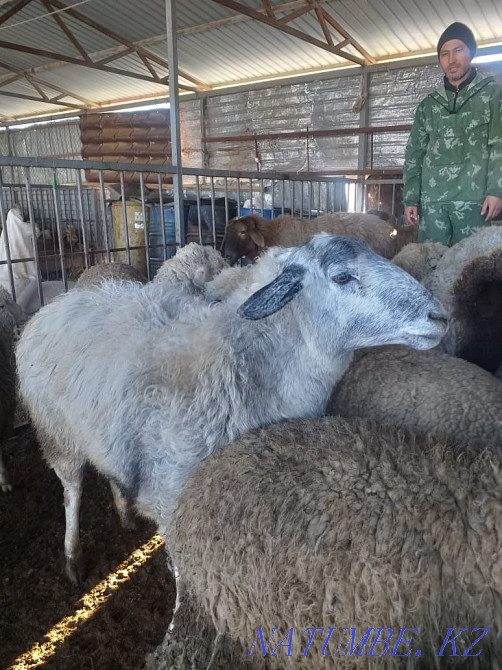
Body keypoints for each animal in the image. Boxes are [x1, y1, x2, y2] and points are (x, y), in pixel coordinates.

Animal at [16, 234, 446, 584]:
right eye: (342, 277)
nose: (439, 316)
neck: (245, 359)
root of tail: (62, 300)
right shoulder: (172, 497)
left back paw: (123, 511)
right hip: (56, 435)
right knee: (72, 490)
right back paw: (73, 557)